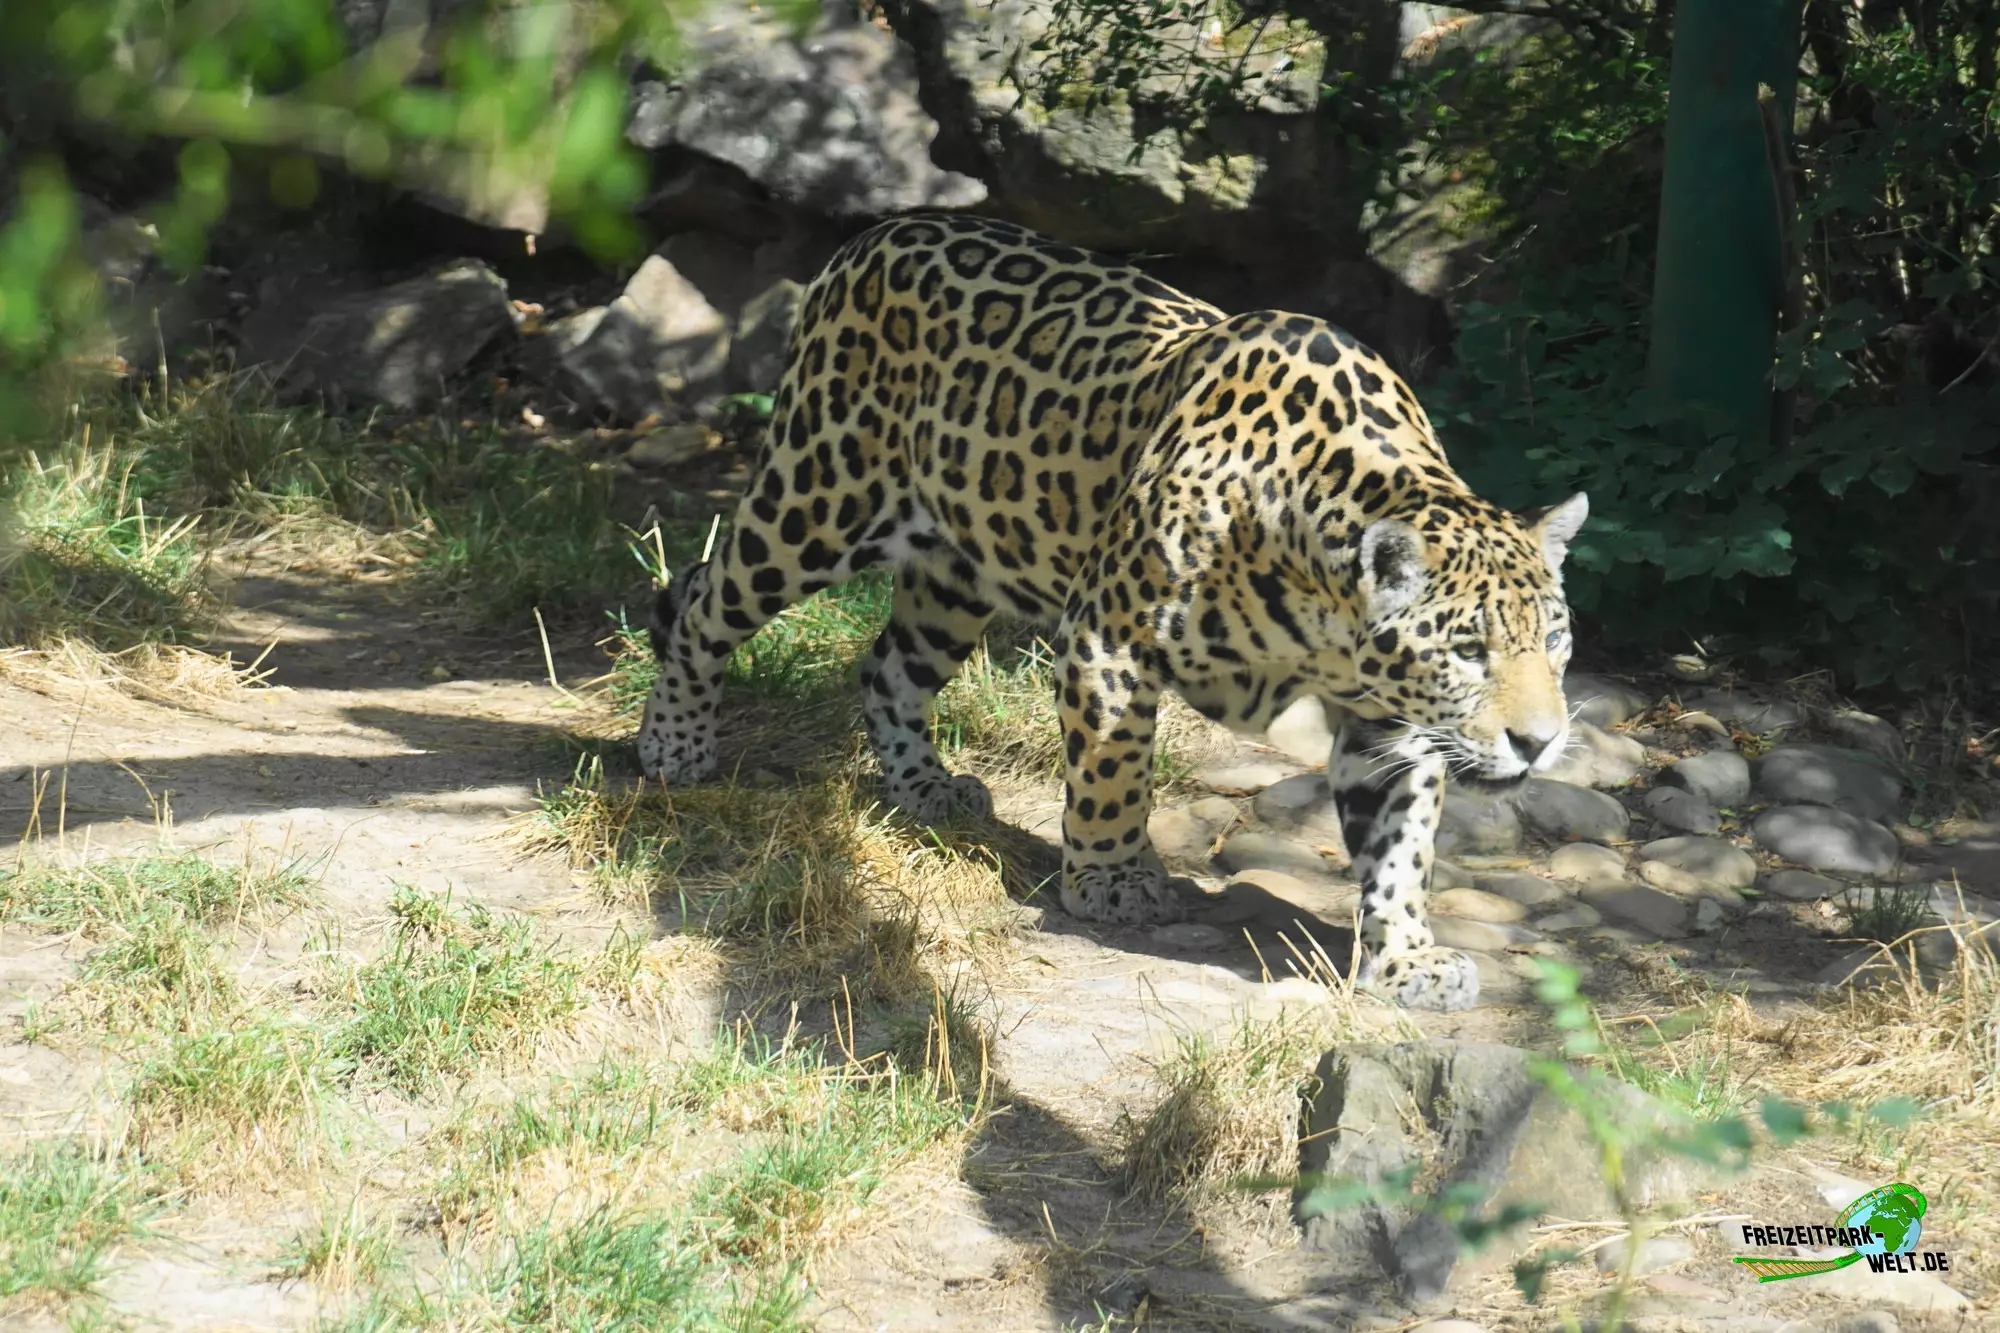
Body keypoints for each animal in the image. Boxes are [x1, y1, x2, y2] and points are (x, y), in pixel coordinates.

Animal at [637, 212, 1588, 1012]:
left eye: (1553, 641)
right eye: (1467, 651)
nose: (1539, 741)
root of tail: (878, 233)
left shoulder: (1390, 722)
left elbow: (1402, 847)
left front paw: (1407, 959)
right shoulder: (1109, 638)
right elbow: (1112, 771)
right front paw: (1110, 881)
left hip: (959, 564)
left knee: (887, 665)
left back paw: (924, 787)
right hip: (817, 498)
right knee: (698, 597)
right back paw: (673, 745)